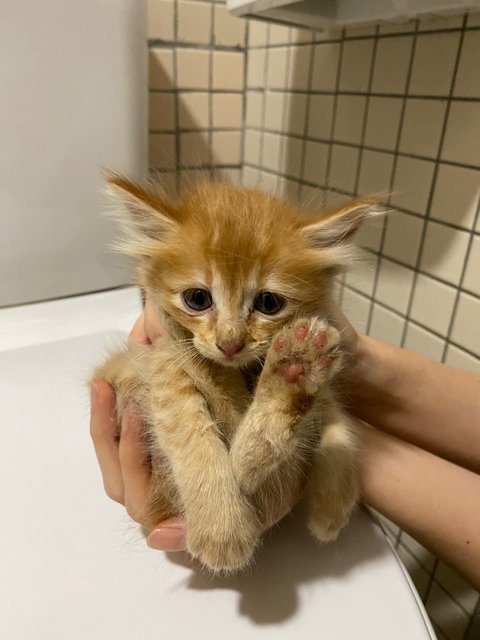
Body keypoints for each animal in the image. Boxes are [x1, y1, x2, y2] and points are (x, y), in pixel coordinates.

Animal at [94, 174, 378, 568]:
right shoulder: (159, 360)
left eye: (269, 303)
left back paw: (293, 374)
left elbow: (338, 423)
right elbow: (191, 432)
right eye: (197, 299)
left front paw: (334, 503)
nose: (230, 344)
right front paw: (221, 528)